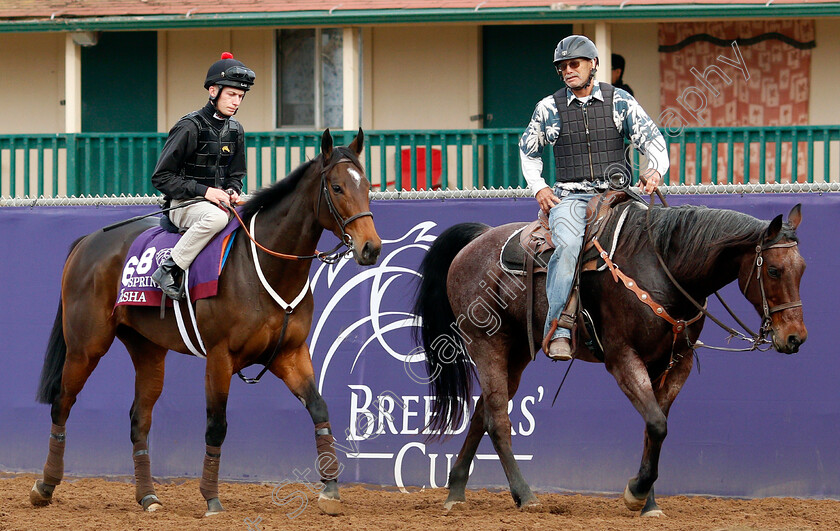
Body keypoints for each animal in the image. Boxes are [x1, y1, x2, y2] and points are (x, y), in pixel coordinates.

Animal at [28, 128, 378, 516]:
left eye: (367, 186)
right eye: (337, 187)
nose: (371, 247)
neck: (262, 266)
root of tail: (87, 242)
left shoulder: (290, 352)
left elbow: (318, 408)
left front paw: (330, 489)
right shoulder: (220, 357)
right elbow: (216, 425)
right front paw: (211, 497)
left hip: (148, 351)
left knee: (139, 420)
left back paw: (148, 497)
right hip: (86, 346)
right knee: (62, 403)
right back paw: (45, 486)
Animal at [414, 200, 808, 516]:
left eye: (802, 268)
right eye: (774, 270)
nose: (795, 338)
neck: (662, 269)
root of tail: (479, 238)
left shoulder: (674, 364)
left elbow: (654, 428)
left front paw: (648, 504)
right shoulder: (622, 358)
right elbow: (657, 424)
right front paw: (636, 493)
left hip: (518, 351)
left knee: (483, 411)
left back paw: (455, 491)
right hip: (487, 344)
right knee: (497, 419)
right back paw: (525, 496)